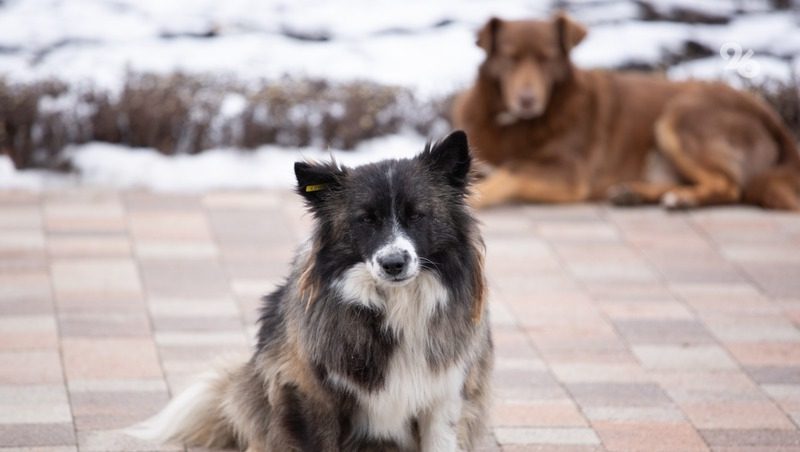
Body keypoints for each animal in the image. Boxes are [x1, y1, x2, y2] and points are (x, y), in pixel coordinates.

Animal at [130, 131, 494, 452]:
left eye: (417, 215)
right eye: (366, 219)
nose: (393, 263)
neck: (394, 305)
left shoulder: (445, 397)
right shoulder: (309, 394)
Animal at [456, 13, 800, 210]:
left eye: (546, 58)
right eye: (511, 58)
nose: (527, 100)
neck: (514, 125)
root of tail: (770, 117)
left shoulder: (568, 174)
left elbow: (509, 172)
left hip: (680, 114)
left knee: (730, 187)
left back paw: (682, 199)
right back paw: (635, 193)